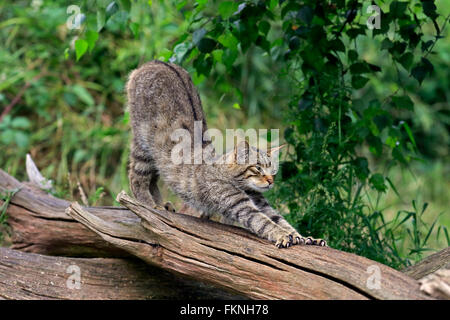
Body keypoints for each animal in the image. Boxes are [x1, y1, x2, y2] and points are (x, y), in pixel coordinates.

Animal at [125, 60, 326, 250]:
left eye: (272, 170)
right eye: (258, 168)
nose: (270, 181)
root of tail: (155, 62)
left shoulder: (261, 203)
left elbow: (281, 221)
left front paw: (307, 238)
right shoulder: (240, 204)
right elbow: (264, 222)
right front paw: (283, 235)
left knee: (152, 180)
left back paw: (161, 205)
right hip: (143, 146)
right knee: (136, 178)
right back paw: (150, 205)